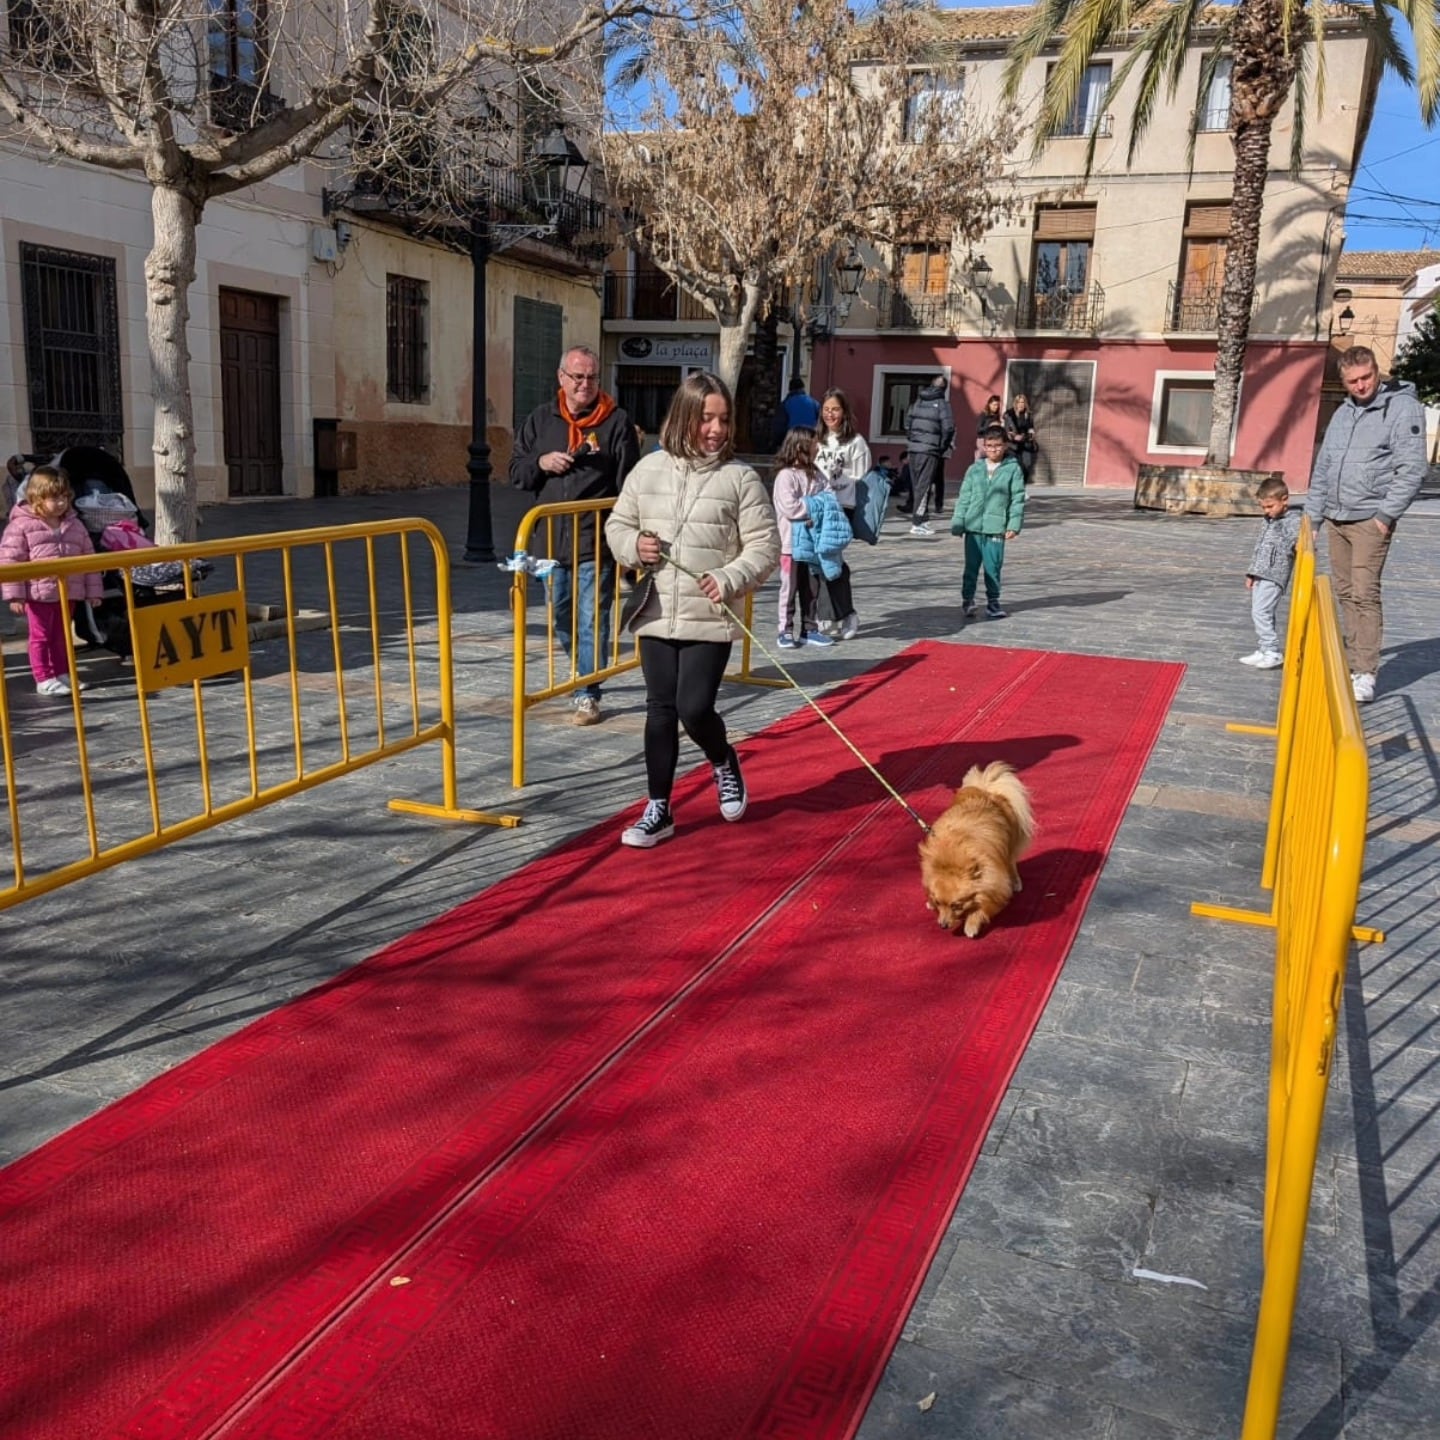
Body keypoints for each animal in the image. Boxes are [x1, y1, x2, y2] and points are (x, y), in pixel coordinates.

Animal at [915, 760, 1031, 938]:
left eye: (956, 905)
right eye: (939, 903)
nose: (943, 925)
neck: (951, 860)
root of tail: (987, 790)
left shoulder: (993, 882)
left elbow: (981, 907)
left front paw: (971, 925)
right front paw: (930, 903)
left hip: (1009, 848)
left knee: (1011, 863)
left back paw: (1016, 882)